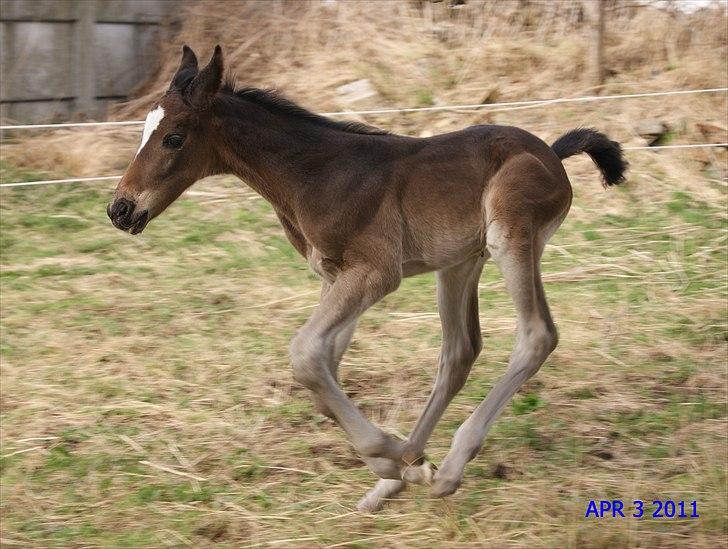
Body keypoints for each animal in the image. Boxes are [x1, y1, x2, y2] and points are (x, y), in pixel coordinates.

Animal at [106, 46, 624, 510]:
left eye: (174, 137)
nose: (120, 209)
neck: (316, 173)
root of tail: (551, 153)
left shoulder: (375, 272)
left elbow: (305, 355)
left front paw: (389, 455)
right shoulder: (335, 275)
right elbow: (324, 364)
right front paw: (400, 467)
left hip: (510, 236)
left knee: (536, 335)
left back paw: (446, 468)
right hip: (459, 262)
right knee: (459, 351)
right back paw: (405, 473)